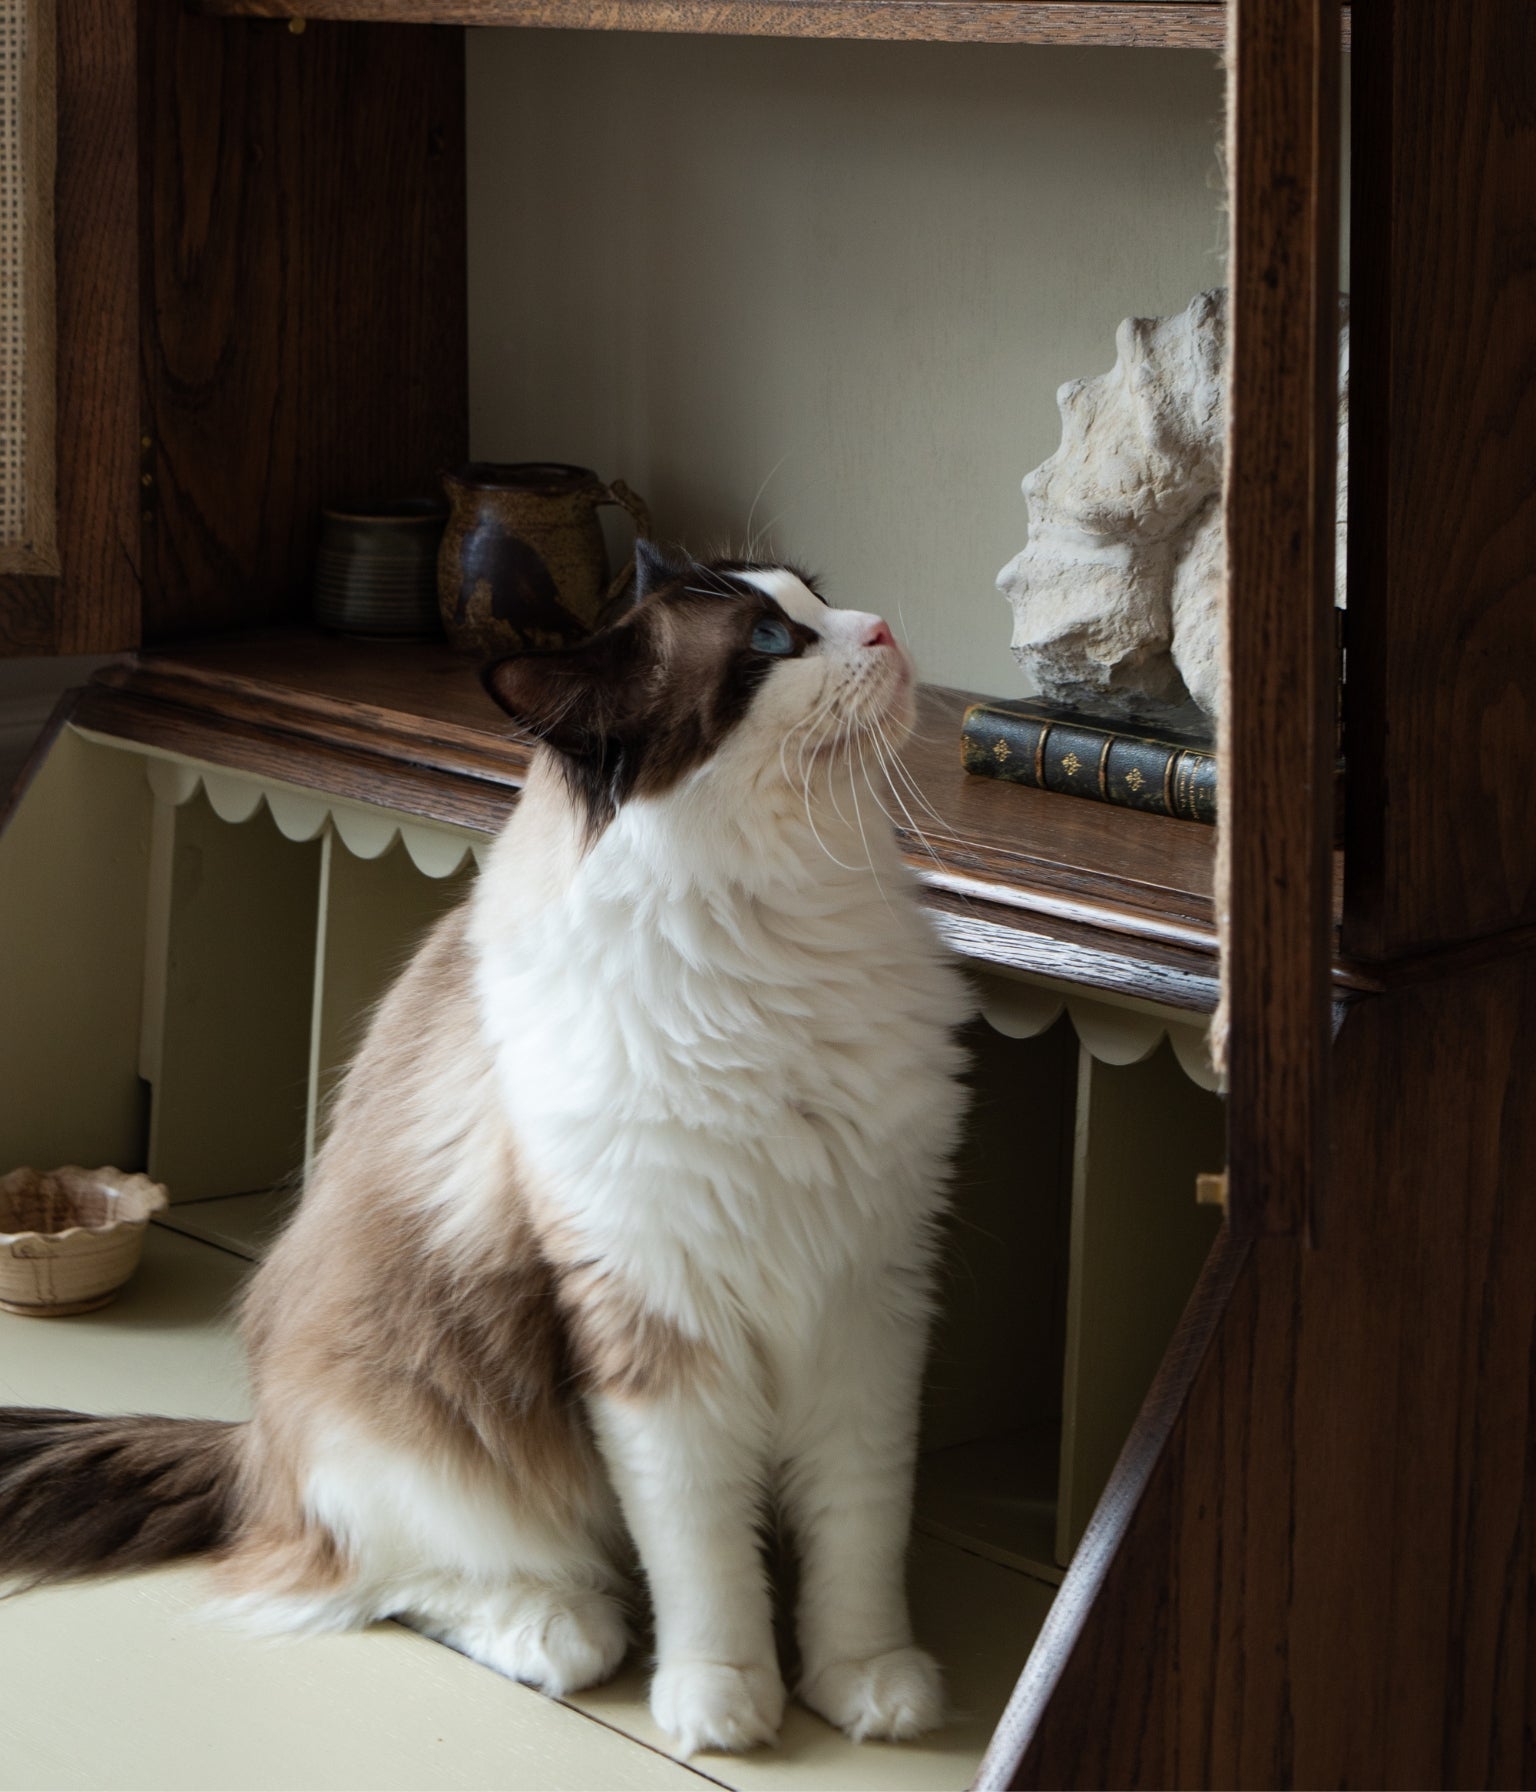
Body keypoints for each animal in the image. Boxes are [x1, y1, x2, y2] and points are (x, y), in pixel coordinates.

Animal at [0, 541, 967, 1748]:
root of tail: (254, 1445)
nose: (879, 628)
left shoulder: (870, 1300)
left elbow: (860, 1529)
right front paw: (723, 1701)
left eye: (819, 598)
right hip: (403, 1431)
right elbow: (702, 1549)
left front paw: (868, 1684)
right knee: (395, 1578)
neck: (786, 944)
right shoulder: (652, 1319)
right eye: (766, 643)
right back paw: (554, 1630)